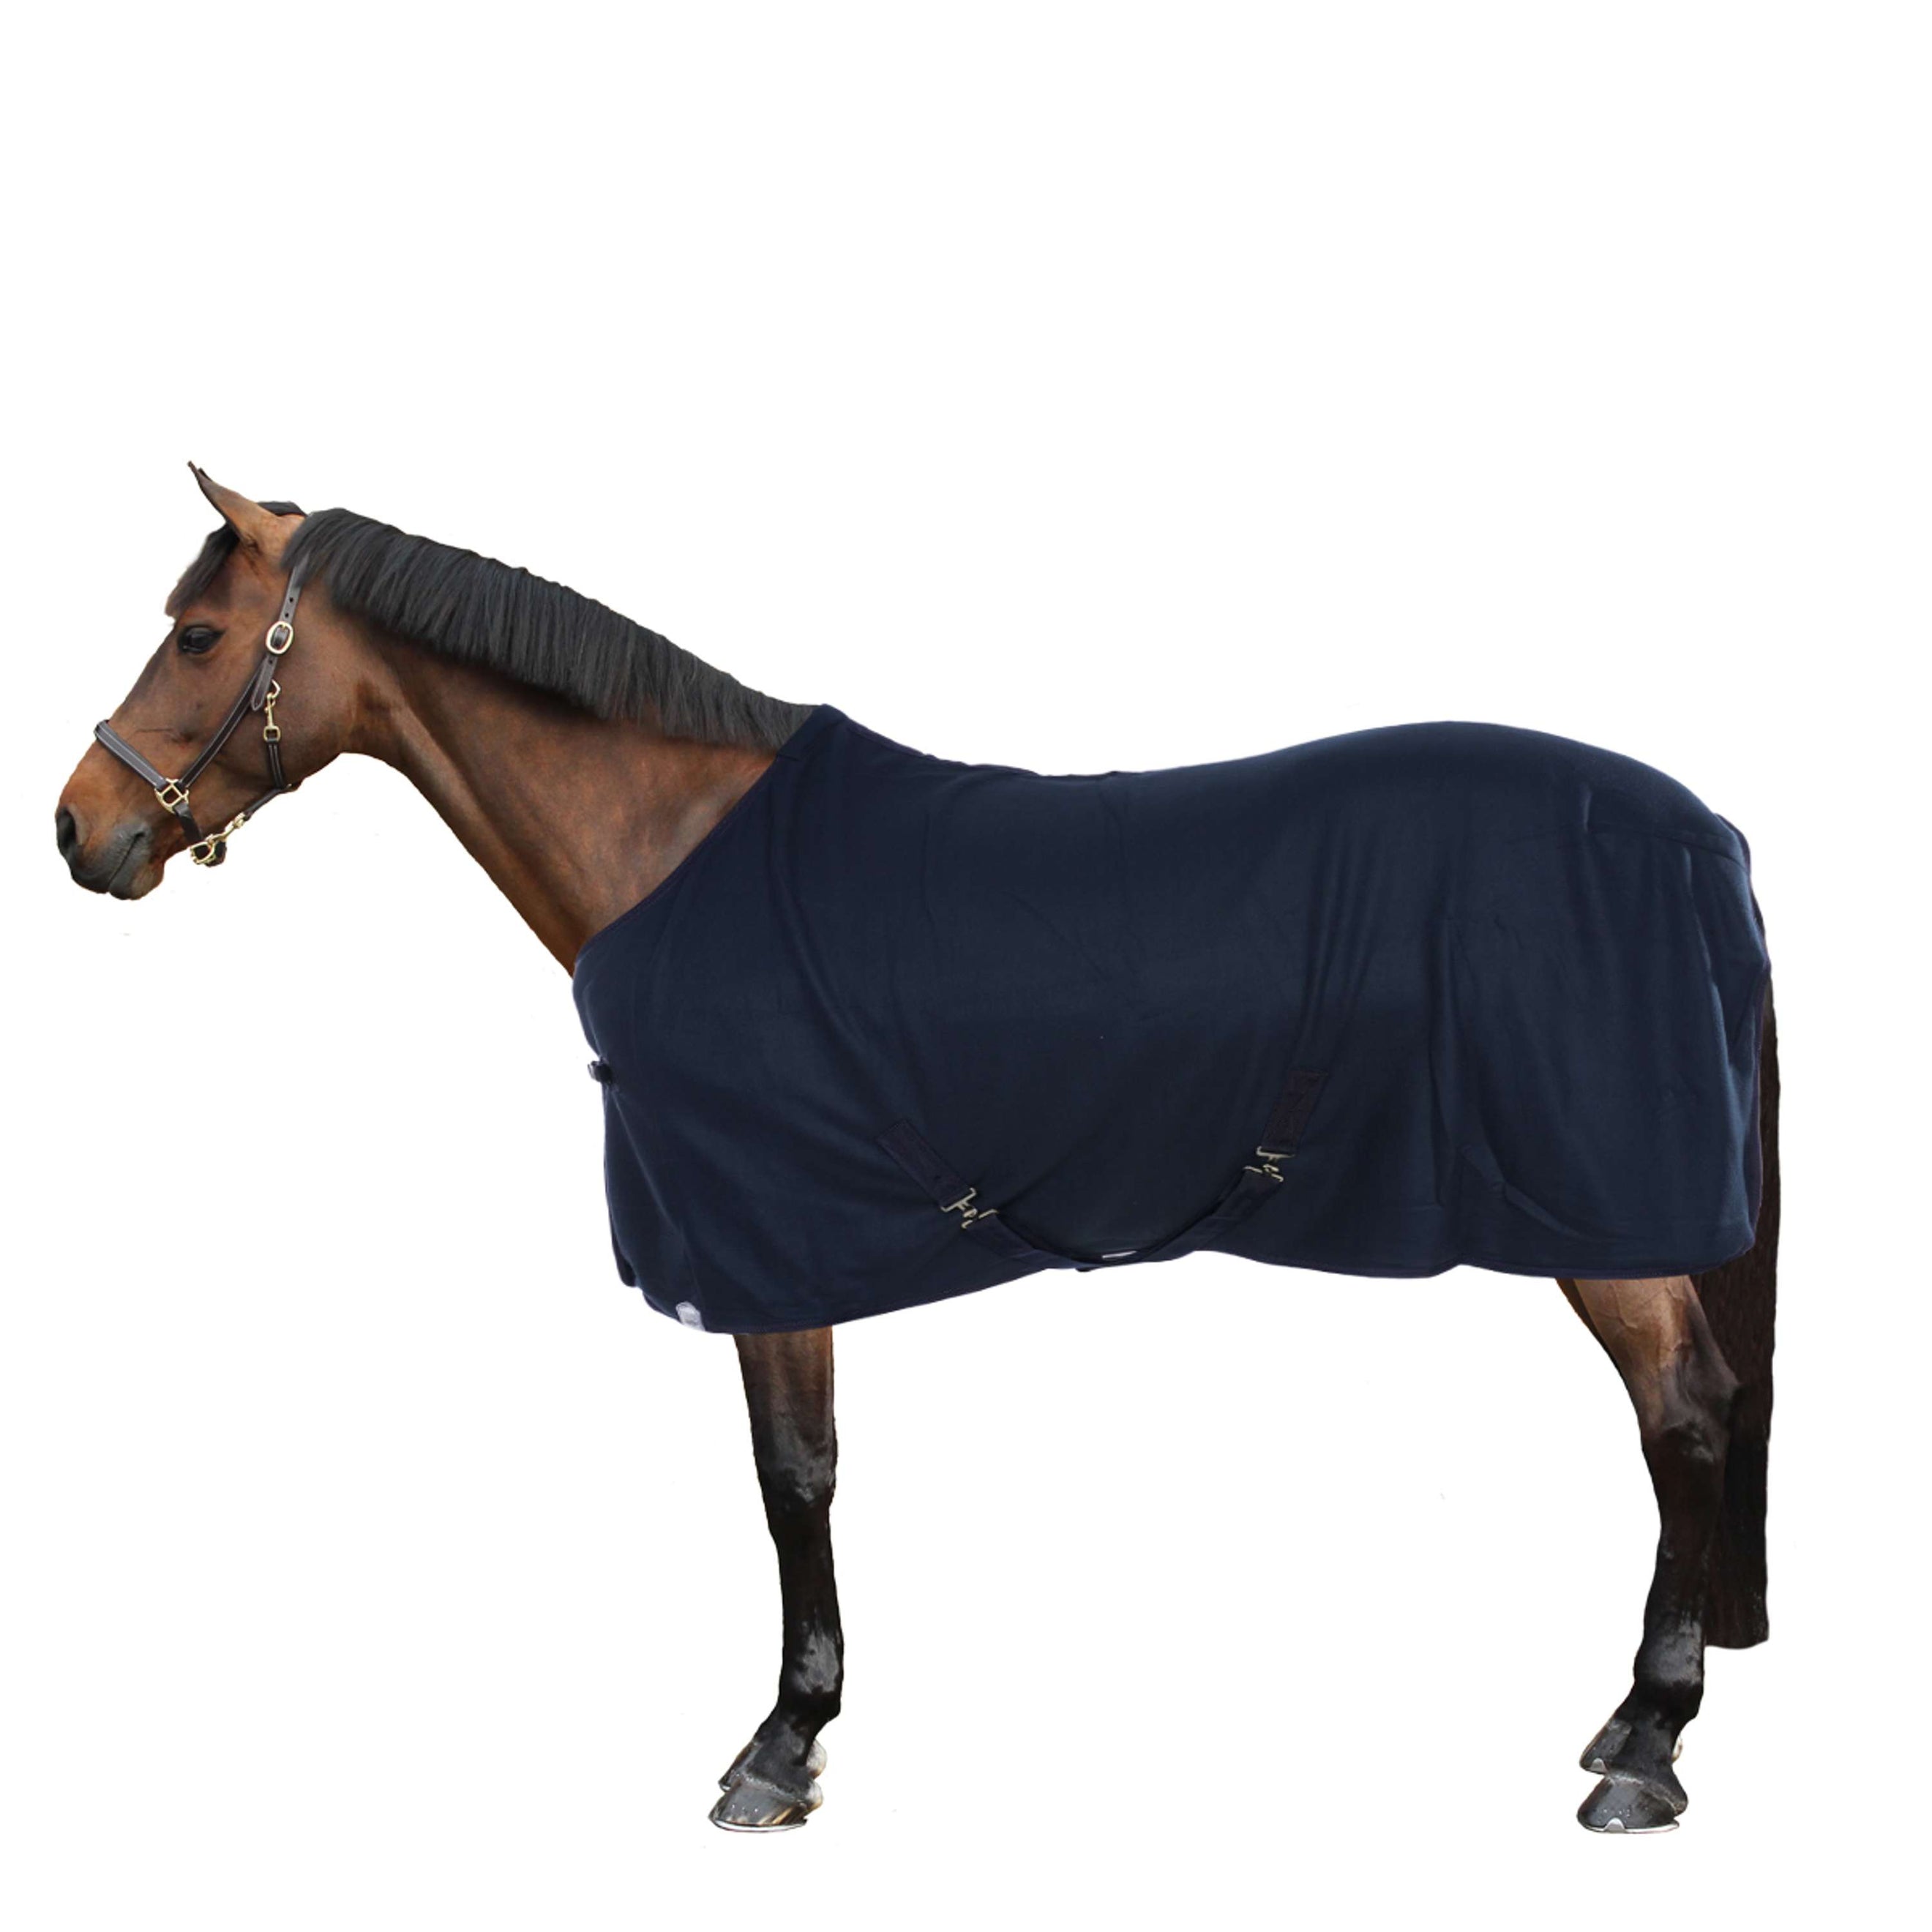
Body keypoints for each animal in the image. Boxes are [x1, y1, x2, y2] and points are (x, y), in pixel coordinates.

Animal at [56, 468, 1779, 1836]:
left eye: (199, 636)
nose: (81, 830)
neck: (681, 852)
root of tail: (1696, 835)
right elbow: (802, 1470)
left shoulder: (768, 1242)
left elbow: (793, 1477)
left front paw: (781, 1744)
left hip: (1602, 1214)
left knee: (1687, 1413)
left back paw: (1647, 1749)